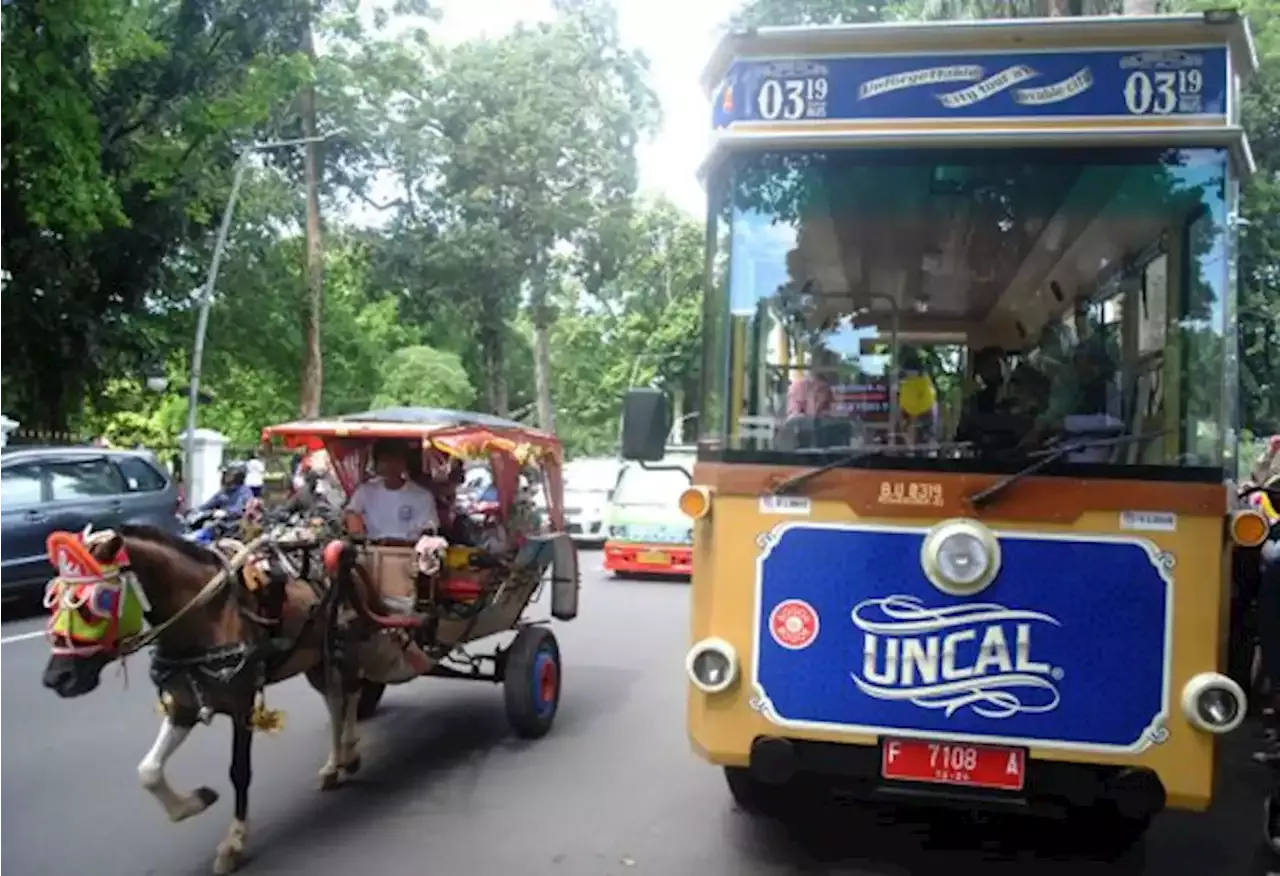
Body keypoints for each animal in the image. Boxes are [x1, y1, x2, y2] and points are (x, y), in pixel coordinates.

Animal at [40, 522, 399, 870]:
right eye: (54, 601)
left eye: (92, 603)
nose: (57, 678)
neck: (202, 616)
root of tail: (345, 549)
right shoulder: (184, 705)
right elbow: (149, 772)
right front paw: (196, 801)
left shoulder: (242, 704)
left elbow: (239, 772)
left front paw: (234, 842)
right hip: (317, 658)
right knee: (336, 701)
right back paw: (336, 762)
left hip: (345, 645)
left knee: (349, 693)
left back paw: (347, 753)